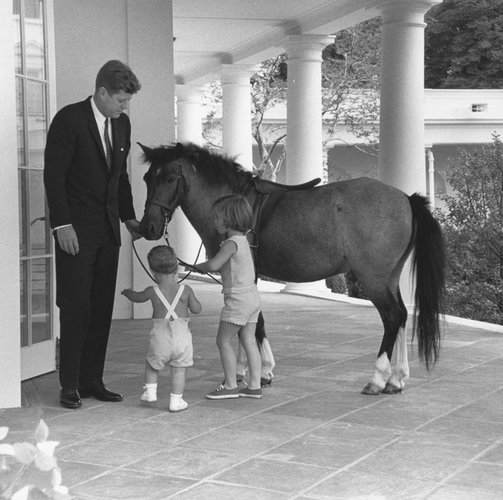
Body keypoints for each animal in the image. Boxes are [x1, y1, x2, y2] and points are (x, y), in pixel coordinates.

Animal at [137, 141, 444, 394]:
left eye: (169, 178)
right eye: (147, 178)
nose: (148, 227)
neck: (234, 203)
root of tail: (405, 199)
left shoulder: (240, 275)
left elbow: (249, 321)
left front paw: (256, 372)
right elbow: (249, 320)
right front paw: (252, 370)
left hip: (374, 279)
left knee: (392, 317)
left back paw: (378, 379)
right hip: (389, 278)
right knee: (402, 315)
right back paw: (396, 378)